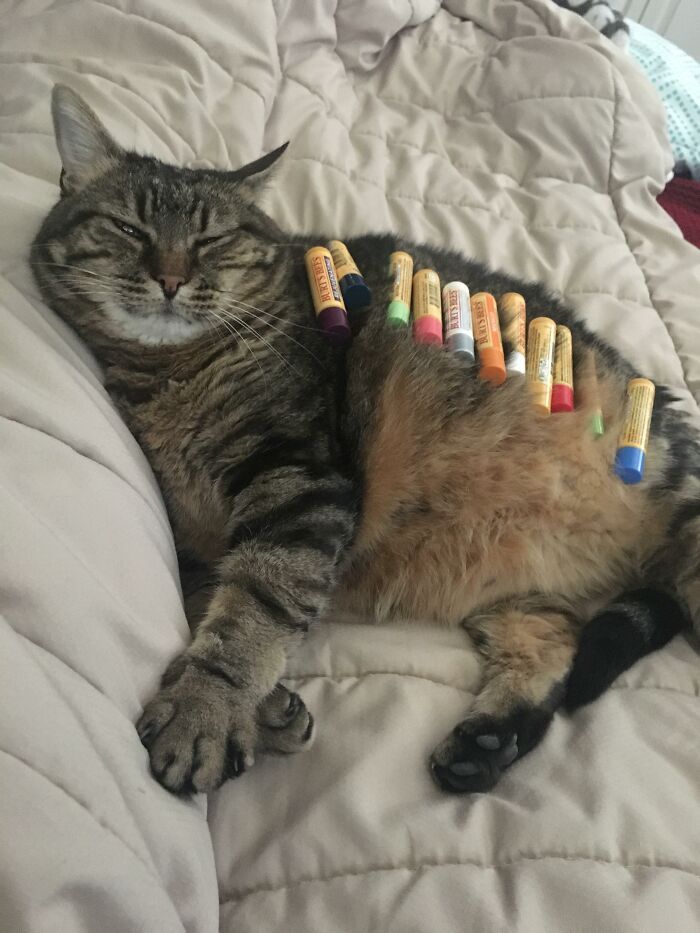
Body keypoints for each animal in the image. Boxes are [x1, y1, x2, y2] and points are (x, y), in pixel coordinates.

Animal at [30, 89, 696, 792]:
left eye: (212, 240)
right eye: (130, 229)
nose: (171, 278)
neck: (169, 377)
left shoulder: (300, 481)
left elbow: (253, 608)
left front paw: (205, 710)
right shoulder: (195, 541)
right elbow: (209, 600)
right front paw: (262, 710)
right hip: (520, 591)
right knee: (553, 648)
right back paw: (485, 744)